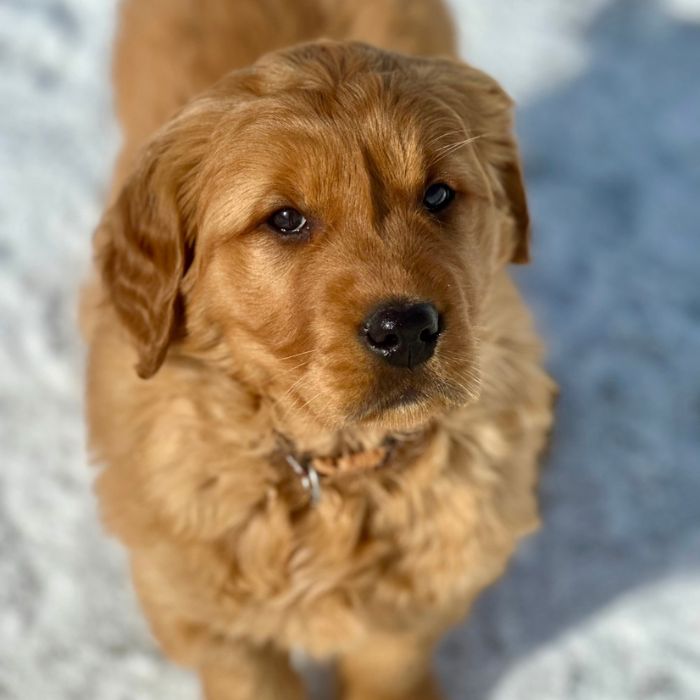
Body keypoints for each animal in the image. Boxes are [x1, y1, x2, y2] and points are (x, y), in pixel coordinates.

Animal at [82, 1, 556, 700]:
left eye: (438, 195)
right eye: (285, 220)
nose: (405, 329)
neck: (337, 470)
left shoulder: (418, 599)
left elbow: (390, 664)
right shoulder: (207, 614)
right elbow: (253, 679)